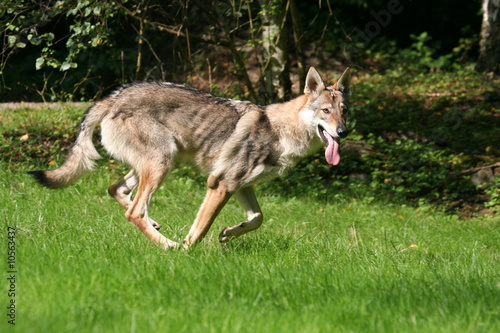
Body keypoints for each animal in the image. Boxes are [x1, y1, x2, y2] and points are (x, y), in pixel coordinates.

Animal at [29, 67, 352, 248]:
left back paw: (155, 225)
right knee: (133, 211)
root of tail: (114, 96)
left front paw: (228, 234)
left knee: (119, 192)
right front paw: (187, 251)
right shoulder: (220, 183)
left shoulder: (242, 185)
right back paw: (168, 245)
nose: (344, 132)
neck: (280, 131)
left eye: (344, 111)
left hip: (159, 163)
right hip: (162, 163)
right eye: (325, 111)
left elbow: (257, 218)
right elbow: (200, 229)